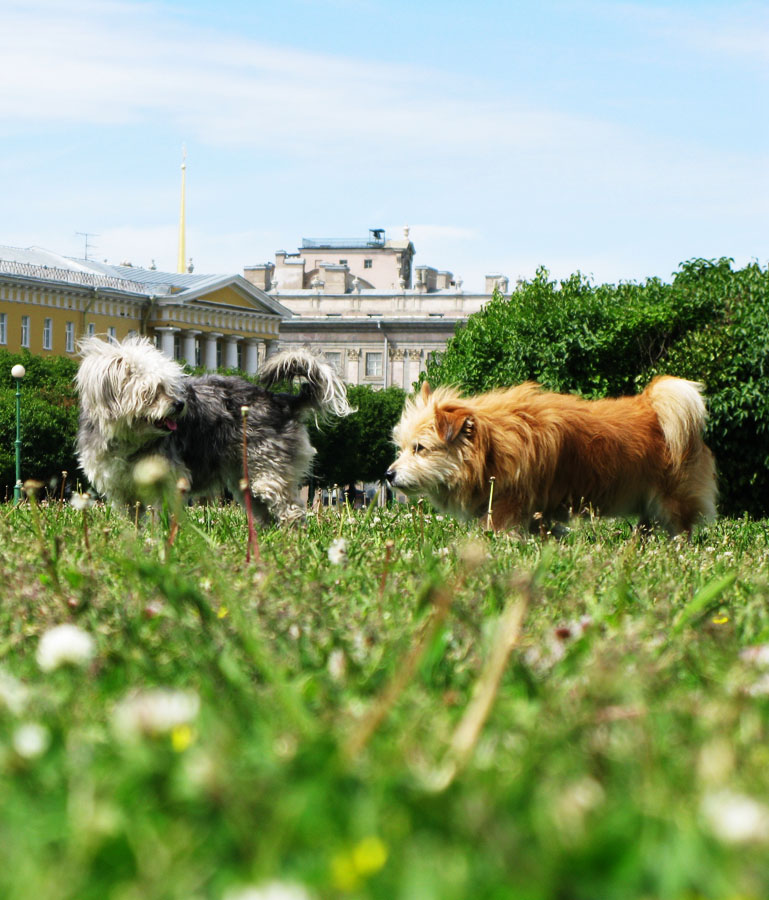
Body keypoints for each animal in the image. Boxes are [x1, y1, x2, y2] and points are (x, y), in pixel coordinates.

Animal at [75, 336, 352, 520]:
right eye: (153, 391)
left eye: (172, 386)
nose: (180, 404)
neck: (129, 437)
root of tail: (281, 400)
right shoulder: (121, 489)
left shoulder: (166, 482)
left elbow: (158, 515)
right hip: (246, 479)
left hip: (267, 473)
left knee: (291, 508)